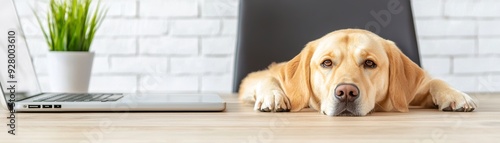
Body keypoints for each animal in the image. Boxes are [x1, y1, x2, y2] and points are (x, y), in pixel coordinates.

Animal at [238, 28, 476, 116]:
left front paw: (456, 95)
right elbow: (267, 78)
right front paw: (273, 96)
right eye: (326, 63)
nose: (346, 92)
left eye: (369, 63)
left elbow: (435, 81)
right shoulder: (256, 78)